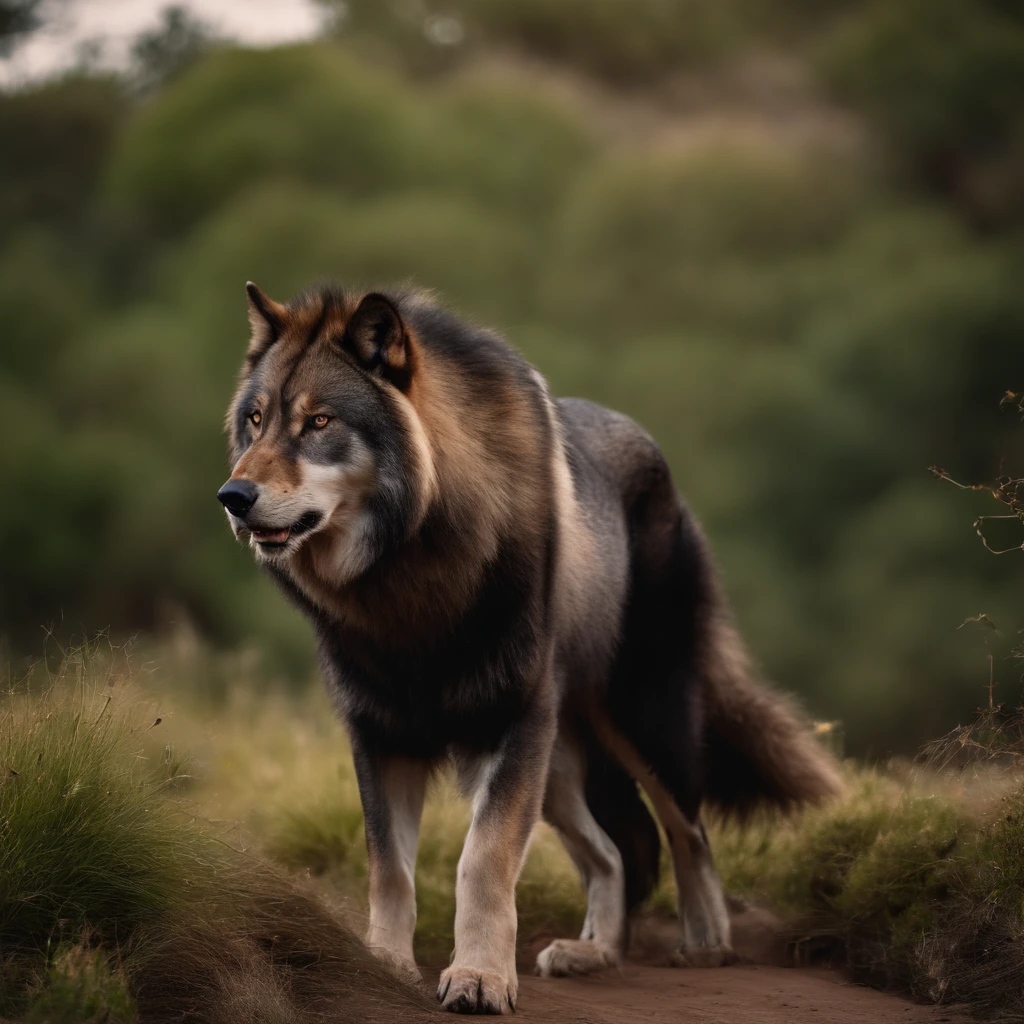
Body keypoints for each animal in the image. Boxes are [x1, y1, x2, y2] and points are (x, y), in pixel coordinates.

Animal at [216, 282, 839, 1015]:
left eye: (318, 422)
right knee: (614, 855)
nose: (232, 496)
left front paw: (479, 978)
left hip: (637, 722)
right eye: (256, 421)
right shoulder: (380, 735)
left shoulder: (512, 723)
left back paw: (705, 944)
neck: (410, 572)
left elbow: (482, 861)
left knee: (690, 833)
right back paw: (592, 953)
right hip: (560, 770)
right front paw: (384, 967)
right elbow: (390, 871)